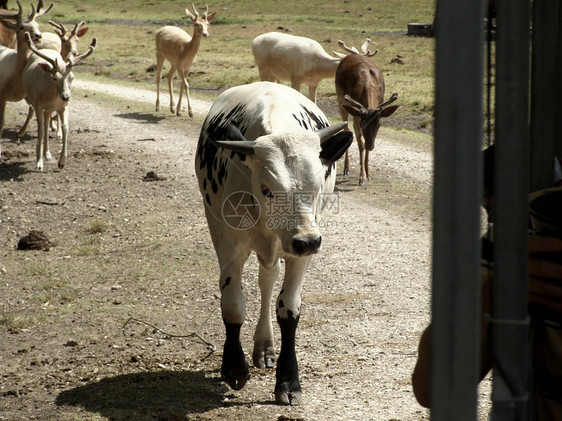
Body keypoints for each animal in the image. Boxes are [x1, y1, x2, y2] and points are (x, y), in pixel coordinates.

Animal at [194, 81, 350, 404]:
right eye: (267, 189)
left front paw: (288, 380)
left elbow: (288, 309)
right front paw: (233, 367)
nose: (308, 241)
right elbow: (233, 304)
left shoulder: (300, 253)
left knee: (267, 281)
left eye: (317, 185)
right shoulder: (229, 245)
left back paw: (264, 346)